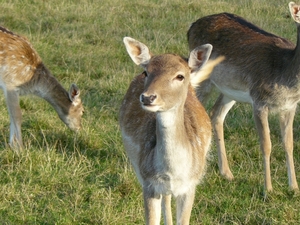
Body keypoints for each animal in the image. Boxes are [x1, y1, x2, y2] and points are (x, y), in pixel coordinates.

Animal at [119, 37, 223, 225]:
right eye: (146, 72)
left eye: (179, 76)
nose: (148, 97)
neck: (173, 172)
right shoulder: (149, 184)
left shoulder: (190, 185)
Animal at [188, 1, 300, 193]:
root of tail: (191, 27)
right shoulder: (259, 100)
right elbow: (266, 145)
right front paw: (268, 189)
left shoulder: (290, 106)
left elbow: (289, 144)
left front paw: (294, 187)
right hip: (202, 78)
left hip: (230, 89)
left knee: (215, 114)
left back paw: (226, 173)